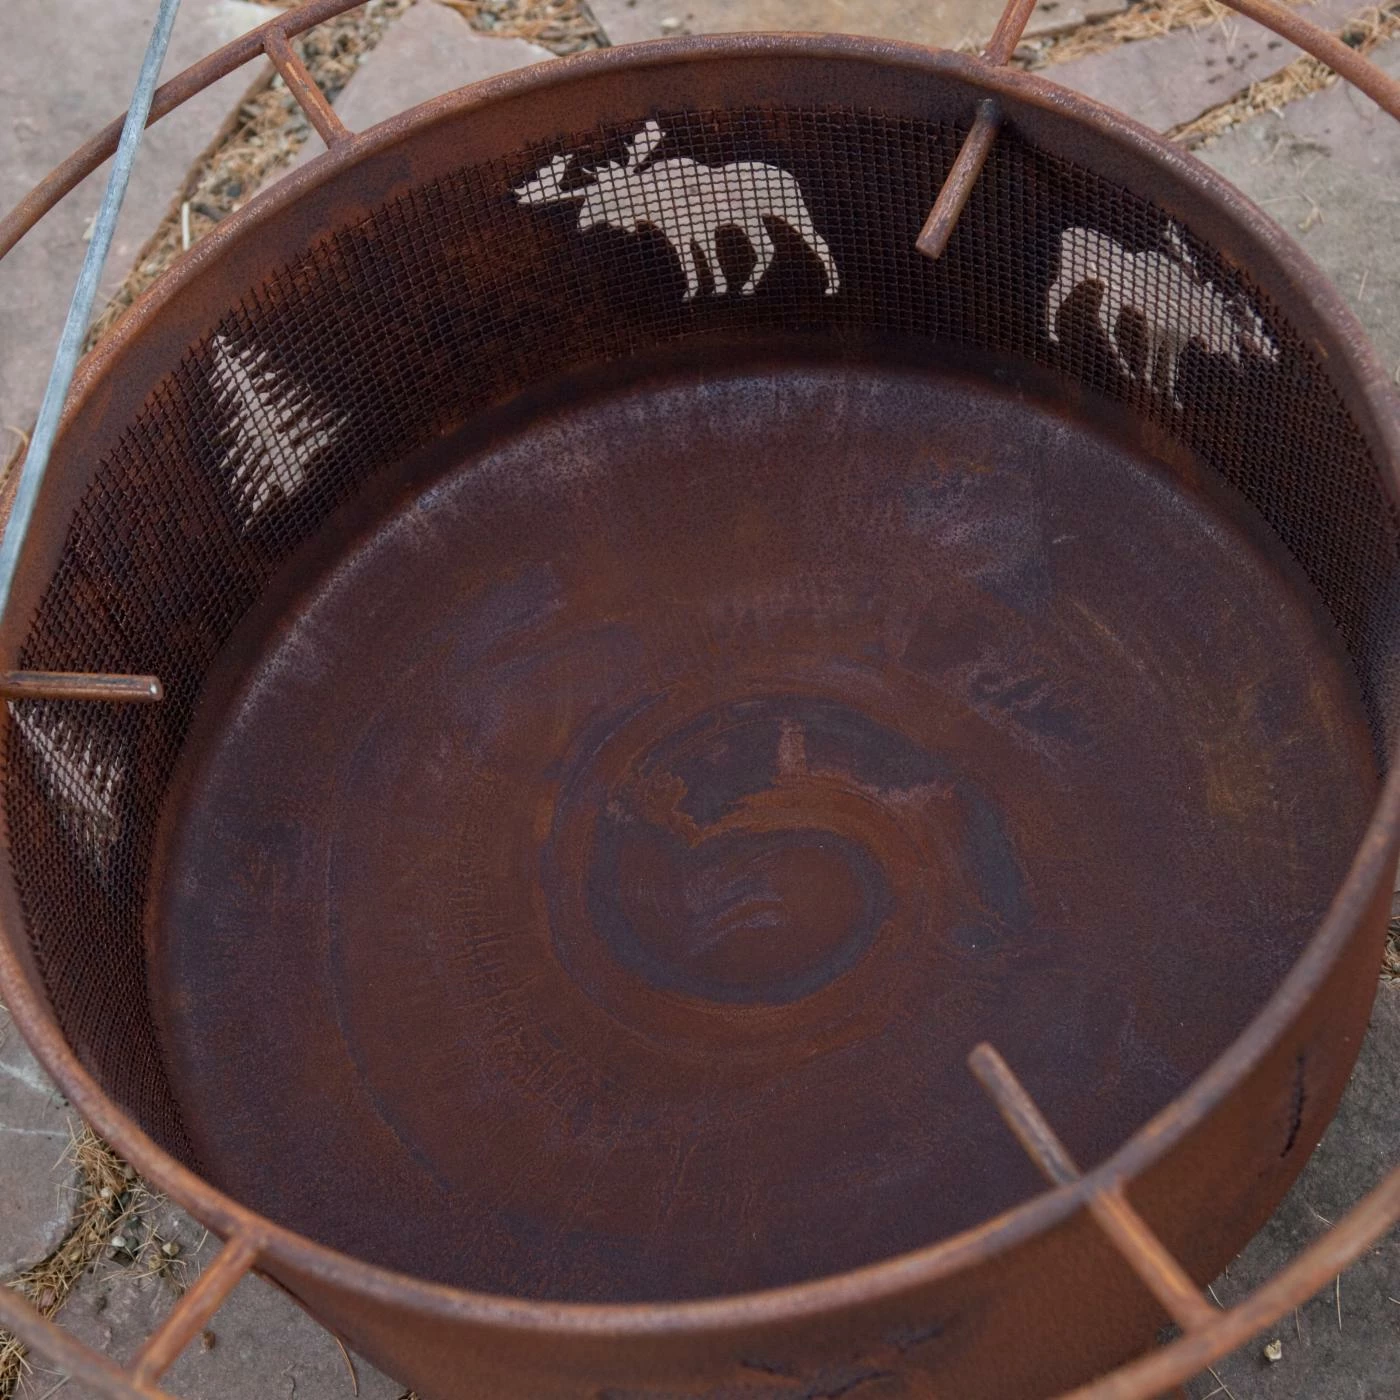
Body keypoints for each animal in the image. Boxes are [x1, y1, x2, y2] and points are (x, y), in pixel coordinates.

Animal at [514, 121, 840, 301]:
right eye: (587, 199)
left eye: (605, 198)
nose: (579, 225)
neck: (649, 204)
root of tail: (790, 177)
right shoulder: (693, 231)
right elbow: (702, 259)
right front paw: (715, 289)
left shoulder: (690, 230)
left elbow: (694, 262)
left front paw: (698, 291)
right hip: (750, 219)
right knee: (768, 248)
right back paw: (748, 288)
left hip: (792, 210)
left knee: (819, 243)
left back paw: (832, 288)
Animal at [1047, 224, 1278, 404]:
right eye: (1233, 326)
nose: (1274, 352)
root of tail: (1065, 233)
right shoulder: (1156, 328)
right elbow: (1154, 357)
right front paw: (1150, 383)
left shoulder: (1176, 340)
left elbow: (1171, 368)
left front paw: (1172, 398)